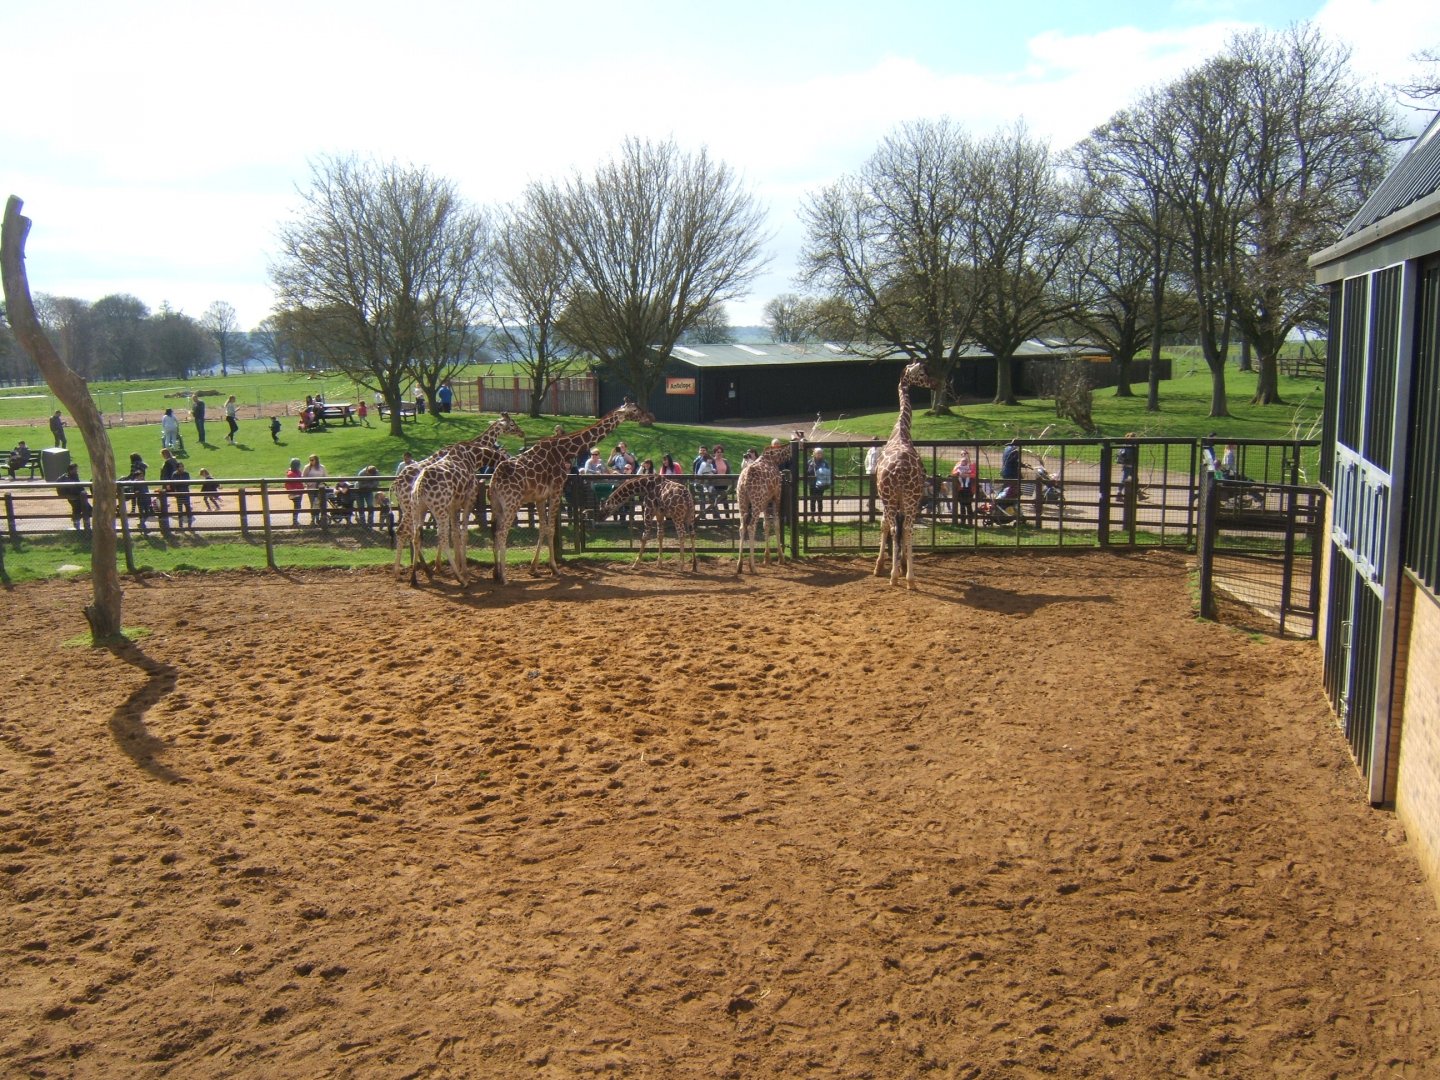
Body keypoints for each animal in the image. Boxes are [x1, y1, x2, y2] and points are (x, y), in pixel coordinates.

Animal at [391, 413, 524, 579]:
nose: (522, 433)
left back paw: (419, 570)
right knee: (403, 531)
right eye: (512, 424)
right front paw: (454, 567)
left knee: (410, 532)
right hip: (410, 507)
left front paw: (443, 566)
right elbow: (454, 532)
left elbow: (450, 531)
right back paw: (402, 571)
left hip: (410, 507)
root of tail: (395, 484)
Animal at [488, 400, 642, 584]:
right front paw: (555, 569)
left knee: (494, 531)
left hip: (496, 504)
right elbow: (551, 529)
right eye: (635, 410)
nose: (648, 417)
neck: (564, 450)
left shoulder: (540, 497)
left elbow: (543, 528)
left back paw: (495, 573)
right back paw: (503, 577)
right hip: (512, 503)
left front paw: (534, 569)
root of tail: (494, 481)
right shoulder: (556, 490)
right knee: (502, 532)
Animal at [734, 433, 802, 575]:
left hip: (742, 501)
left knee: (742, 527)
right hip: (756, 502)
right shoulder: (776, 496)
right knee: (751, 526)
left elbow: (766, 525)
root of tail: (744, 481)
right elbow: (776, 523)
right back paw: (752, 566)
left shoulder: (766, 501)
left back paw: (739, 565)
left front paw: (767, 559)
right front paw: (781, 558)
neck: (774, 459)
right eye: (803, 439)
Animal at [874, 361, 938, 588]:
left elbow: (888, 527)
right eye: (923, 372)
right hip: (907, 499)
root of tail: (900, 471)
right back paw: (908, 578)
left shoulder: (892, 500)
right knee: (905, 528)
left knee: (900, 529)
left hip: (900, 498)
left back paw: (900, 577)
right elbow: (891, 528)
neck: (901, 431)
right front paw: (893, 566)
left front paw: (885, 566)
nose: (936, 383)